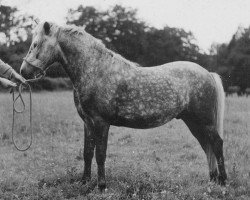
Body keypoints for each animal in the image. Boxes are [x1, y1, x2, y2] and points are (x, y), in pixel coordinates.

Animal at [20, 21, 227, 189]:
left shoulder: (101, 122)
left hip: (205, 122)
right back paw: (212, 180)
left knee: (216, 144)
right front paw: (85, 182)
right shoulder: (88, 123)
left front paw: (101, 186)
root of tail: (208, 74)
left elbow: (100, 154)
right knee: (206, 146)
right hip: (193, 122)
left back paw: (223, 181)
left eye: (36, 44)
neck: (95, 69)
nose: (24, 71)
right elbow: (87, 152)